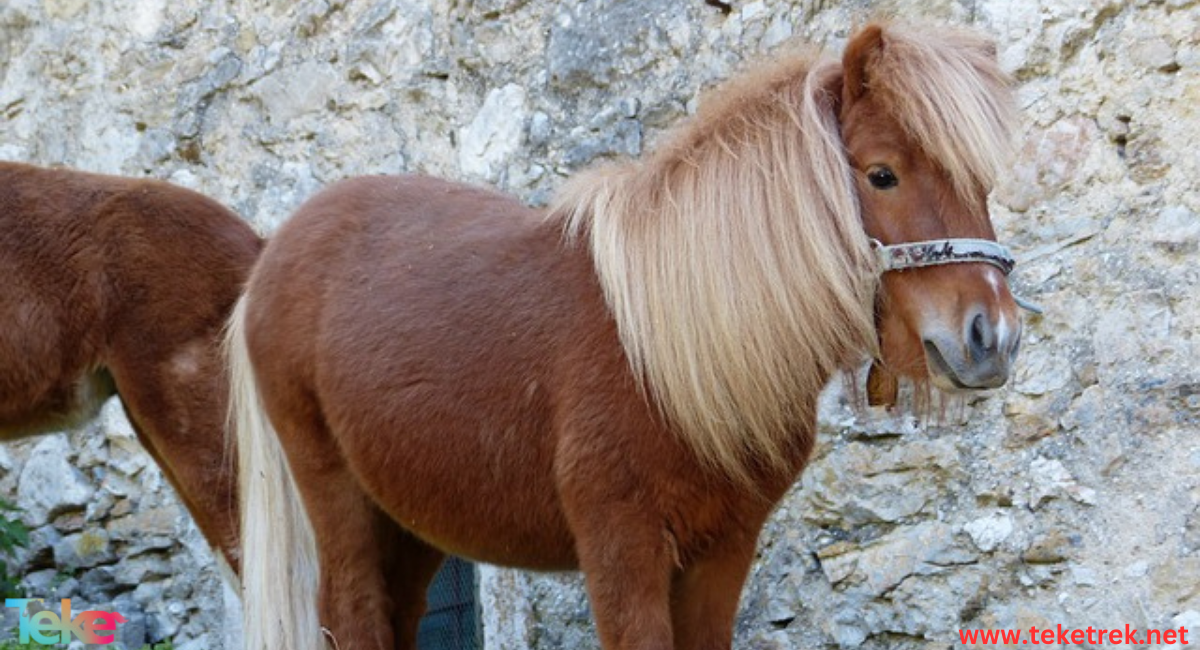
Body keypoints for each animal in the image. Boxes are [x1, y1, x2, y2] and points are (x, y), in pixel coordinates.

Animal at [231, 22, 1022, 650]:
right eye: (882, 175)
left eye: (983, 183)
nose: (993, 338)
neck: (672, 353)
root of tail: (272, 256)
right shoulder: (622, 549)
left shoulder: (721, 552)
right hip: (335, 494)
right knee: (351, 611)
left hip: (411, 515)